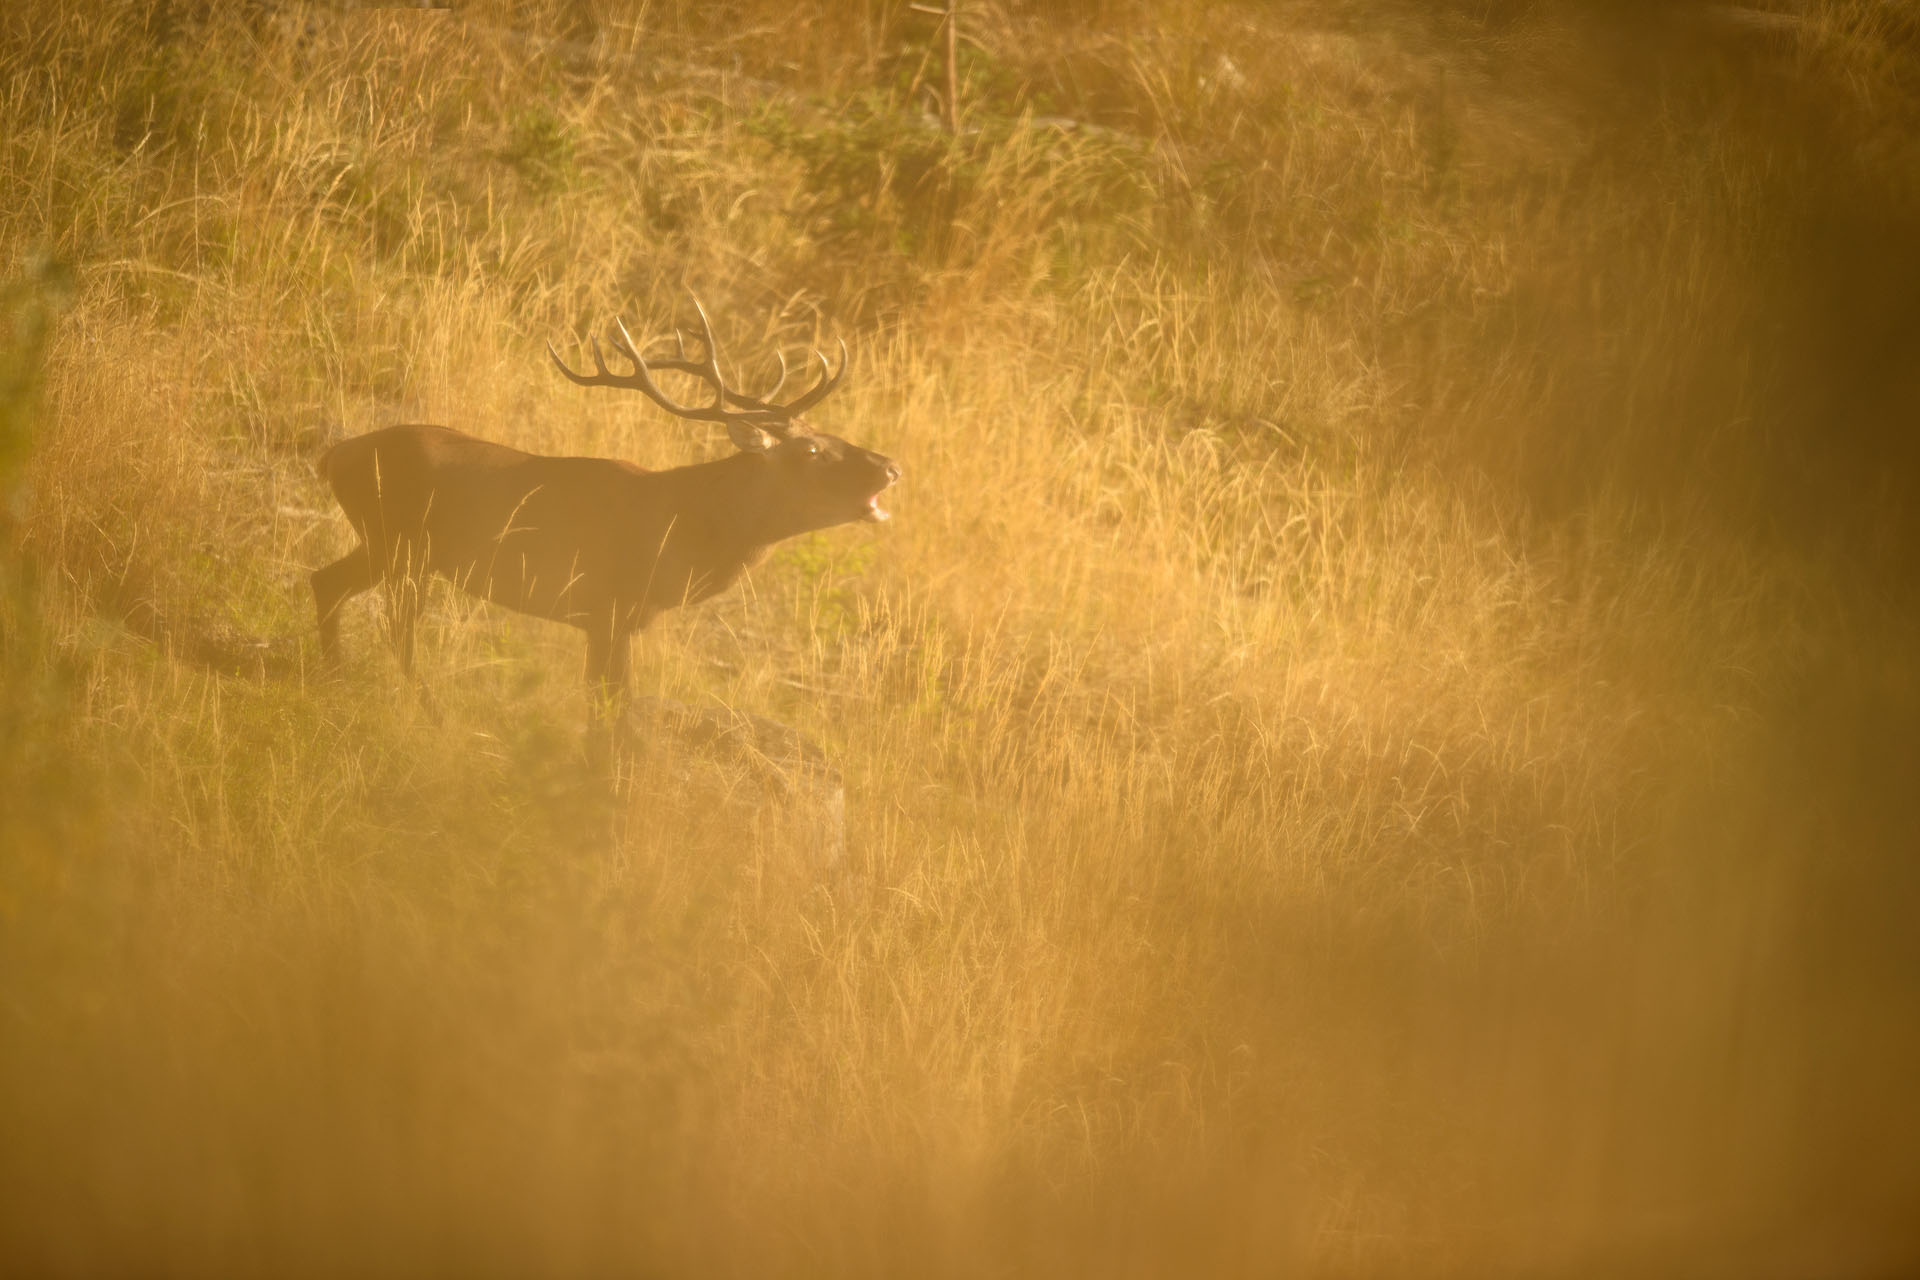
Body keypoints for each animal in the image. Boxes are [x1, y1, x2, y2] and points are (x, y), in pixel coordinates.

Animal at [309, 297, 899, 717]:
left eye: (826, 433)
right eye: (812, 452)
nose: (890, 465)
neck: (682, 529)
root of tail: (335, 454)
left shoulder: (612, 619)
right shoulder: (607, 609)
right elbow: (611, 713)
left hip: (389, 545)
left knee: (326, 582)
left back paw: (337, 685)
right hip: (399, 542)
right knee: (391, 627)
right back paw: (423, 710)